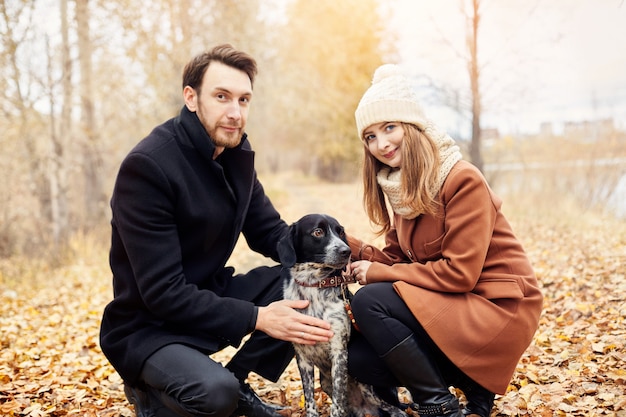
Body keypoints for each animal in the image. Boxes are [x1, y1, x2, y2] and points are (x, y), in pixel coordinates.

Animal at [278, 214, 404, 416]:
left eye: (341, 232)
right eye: (318, 232)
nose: (347, 251)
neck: (314, 286)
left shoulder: (339, 352)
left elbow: (338, 402)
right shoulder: (303, 357)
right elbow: (310, 400)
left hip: (369, 389)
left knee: (393, 408)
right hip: (325, 383)